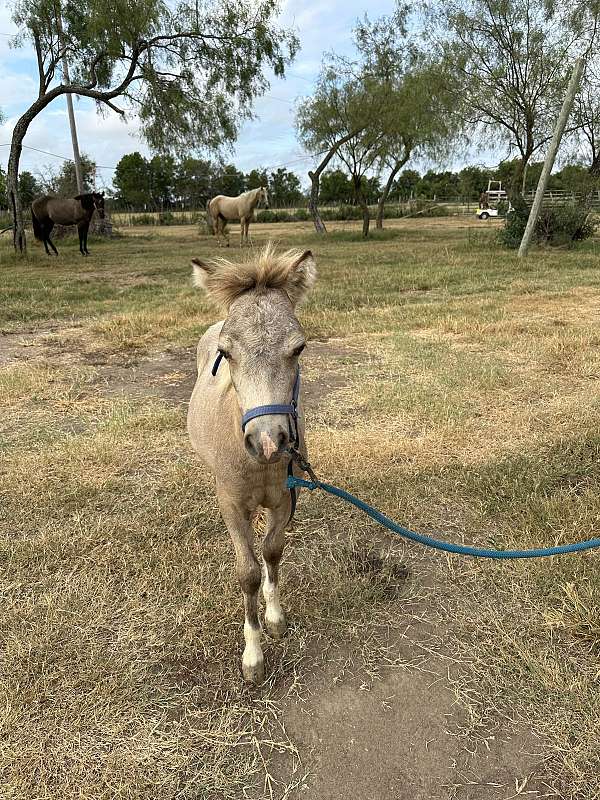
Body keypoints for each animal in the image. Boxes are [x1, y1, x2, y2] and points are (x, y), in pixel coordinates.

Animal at [188, 242, 316, 680]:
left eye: (299, 347)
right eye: (226, 353)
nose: (267, 442)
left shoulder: (285, 497)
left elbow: (272, 552)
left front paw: (275, 620)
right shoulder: (231, 504)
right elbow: (247, 573)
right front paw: (253, 655)